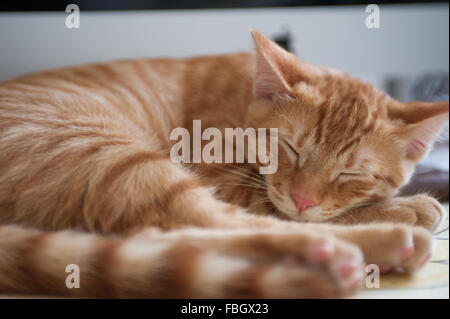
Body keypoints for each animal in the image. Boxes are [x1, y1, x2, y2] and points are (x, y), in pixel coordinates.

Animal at [0, 28, 446, 298]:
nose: (303, 199)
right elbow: (288, 211)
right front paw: (406, 208)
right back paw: (362, 247)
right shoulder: (232, 182)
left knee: (152, 236)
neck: (243, 96)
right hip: (117, 156)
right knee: (194, 224)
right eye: (290, 147)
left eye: (351, 172)